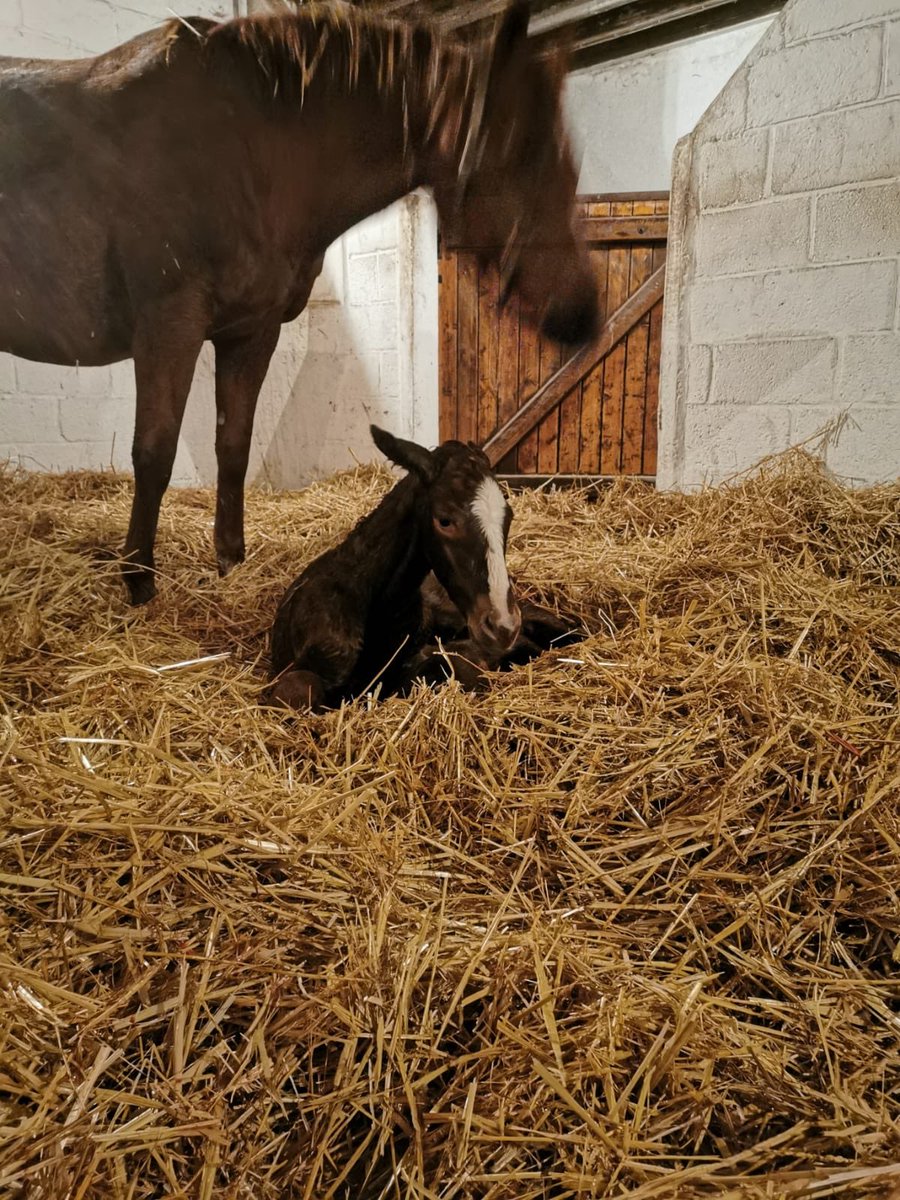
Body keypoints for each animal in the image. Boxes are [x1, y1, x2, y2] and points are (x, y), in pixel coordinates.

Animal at [0, 1, 599, 606]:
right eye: (522, 153)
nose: (584, 315)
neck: (246, 151)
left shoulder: (251, 332)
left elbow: (234, 447)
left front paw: (231, 563)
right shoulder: (169, 327)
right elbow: (154, 452)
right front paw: (140, 581)